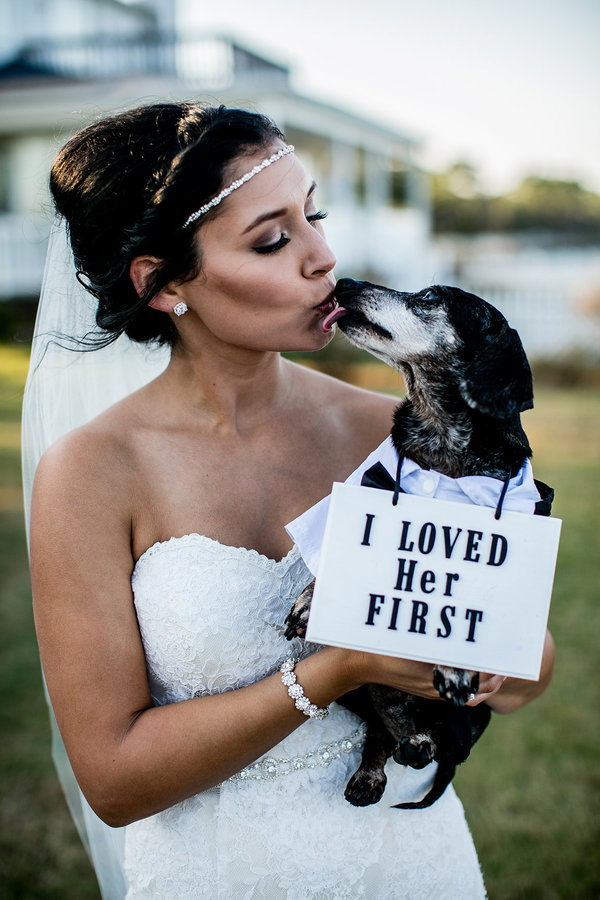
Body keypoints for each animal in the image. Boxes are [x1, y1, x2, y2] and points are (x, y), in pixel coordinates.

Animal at [286, 280, 552, 808]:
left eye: (430, 296)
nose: (344, 282)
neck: (440, 444)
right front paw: (309, 600)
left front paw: (455, 665)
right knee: (379, 734)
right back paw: (376, 769)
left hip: (473, 714)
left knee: (445, 745)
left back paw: (420, 743)